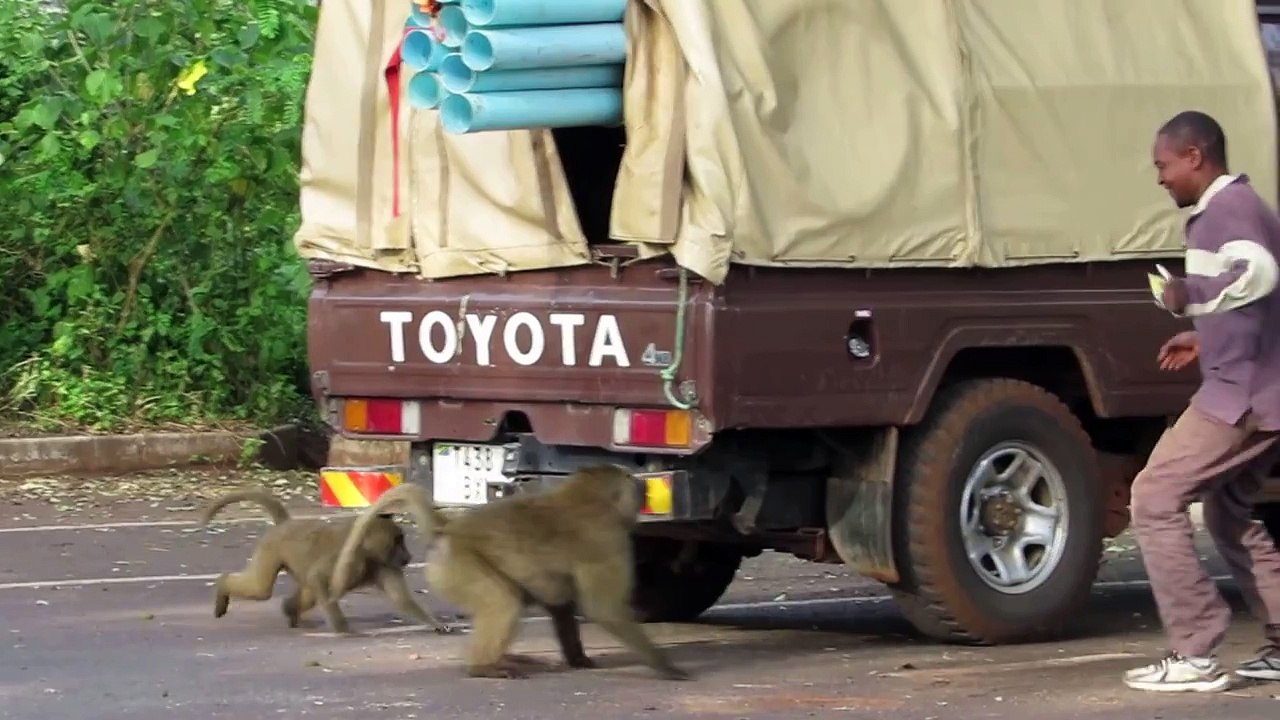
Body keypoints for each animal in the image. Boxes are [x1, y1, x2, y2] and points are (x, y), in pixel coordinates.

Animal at [198, 487, 452, 635]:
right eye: (398, 541)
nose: (408, 557)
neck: (368, 551)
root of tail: (285, 523)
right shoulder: (353, 559)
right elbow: (319, 577)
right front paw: (343, 630)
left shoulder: (383, 565)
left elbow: (401, 599)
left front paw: (436, 624)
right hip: (270, 549)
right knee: (261, 589)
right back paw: (222, 588)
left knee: (305, 594)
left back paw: (289, 611)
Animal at [331, 465, 690, 681]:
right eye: (631, 482)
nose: (644, 486)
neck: (589, 499)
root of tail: (450, 529)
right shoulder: (607, 540)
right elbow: (605, 609)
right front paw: (666, 666)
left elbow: (561, 605)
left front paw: (578, 659)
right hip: (458, 566)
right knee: (503, 603)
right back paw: (483, 667)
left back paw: (512, 660)